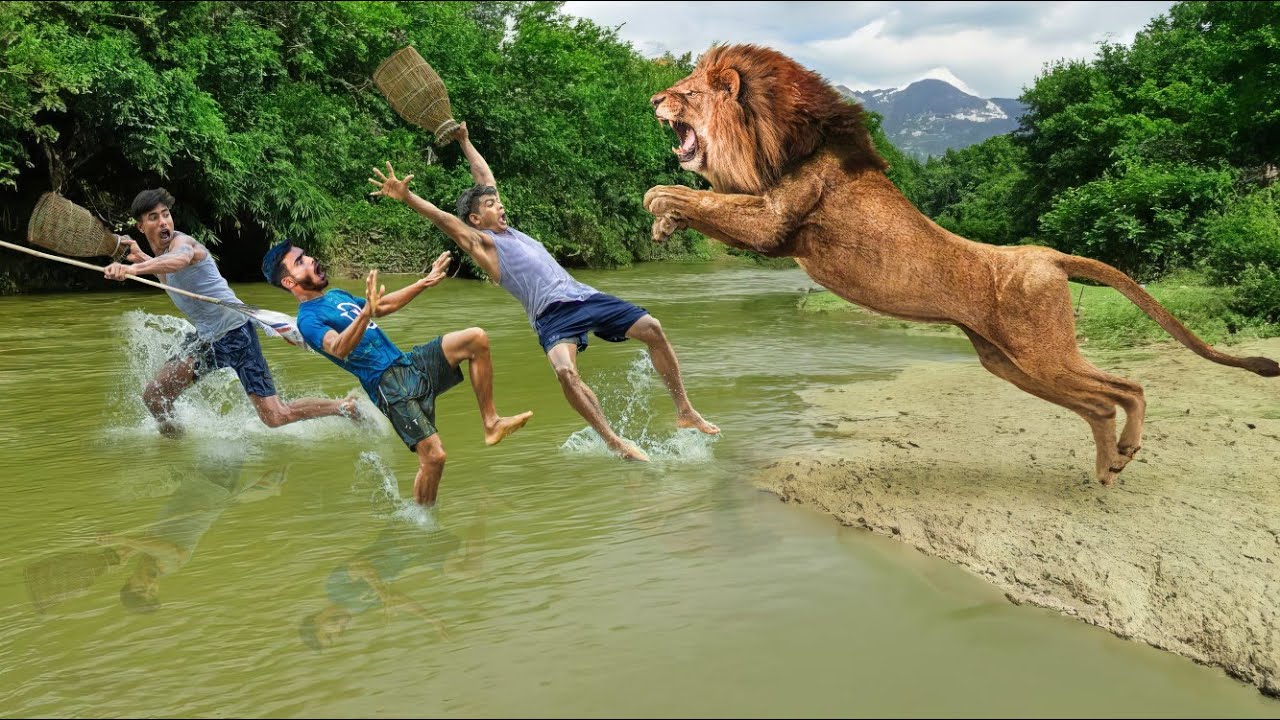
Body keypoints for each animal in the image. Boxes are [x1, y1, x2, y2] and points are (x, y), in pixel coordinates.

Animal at [644, 44, 1279, 486]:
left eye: (687, 92)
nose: (653, 101)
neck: (780, 139)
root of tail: (1049, 255)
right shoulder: (768, 217)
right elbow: (705, 202)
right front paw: (665, 223)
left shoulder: (775, 225)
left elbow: (698, 196)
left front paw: (659, 204)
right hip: (1010, 363)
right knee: (1106, 401)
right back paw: (1113, 463)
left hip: (1041, 353)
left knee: (1126, 387)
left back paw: (1120, 456)